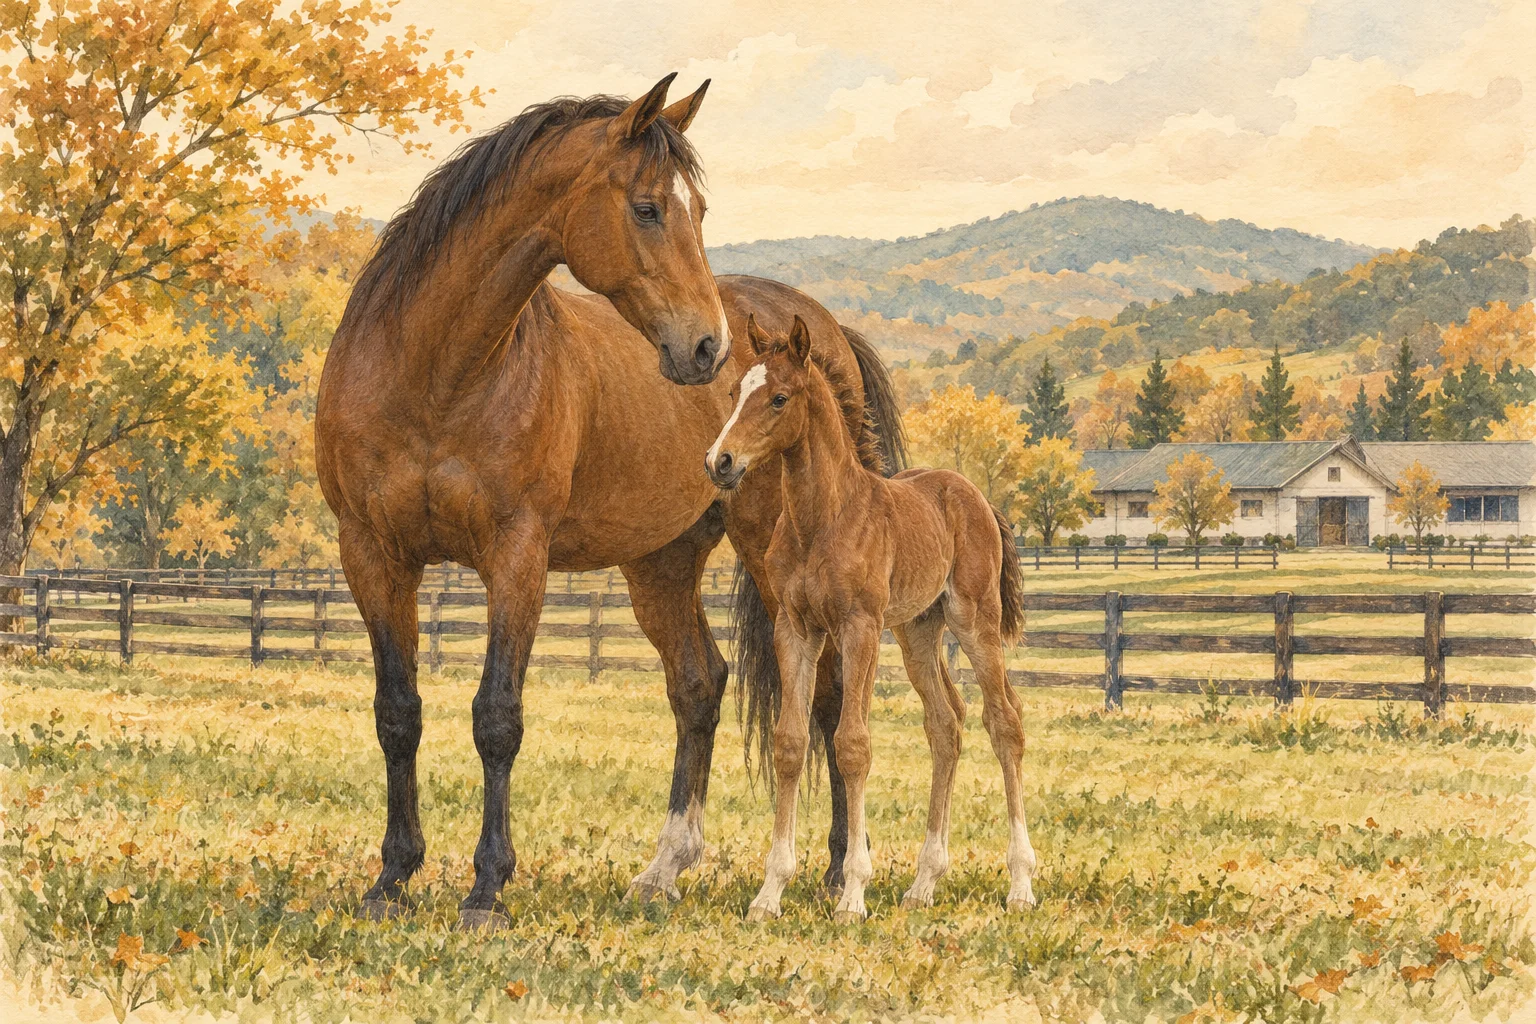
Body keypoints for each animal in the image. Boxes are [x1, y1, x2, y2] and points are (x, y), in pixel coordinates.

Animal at [315, 76, 903, 929]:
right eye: (649, 206)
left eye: (699, 209)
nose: (708, 348)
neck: (432, 372)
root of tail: (820, 329)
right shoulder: (372, 553)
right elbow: (398, 712)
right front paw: (392, 879)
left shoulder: (515, 556)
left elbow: (497, 717)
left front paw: (486, 888)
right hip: (663, 563)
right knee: (699, 685)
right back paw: (665, 869)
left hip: (785, 569)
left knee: (826, 703)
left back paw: (831, 874)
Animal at [704, 315, 1035, 923]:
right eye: (736, 391)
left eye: (780, 398)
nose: (720, 462)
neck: (823, 519)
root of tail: (973, 494)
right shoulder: (796, 629)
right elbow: (790, 742)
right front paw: (770, 893)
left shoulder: (858, 628)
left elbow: (852, 744)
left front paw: (853, 893)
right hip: (916, 631)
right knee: (945, 725)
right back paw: (924, 883)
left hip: (973, 620)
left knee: (1004, 722)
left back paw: (1020, 883)